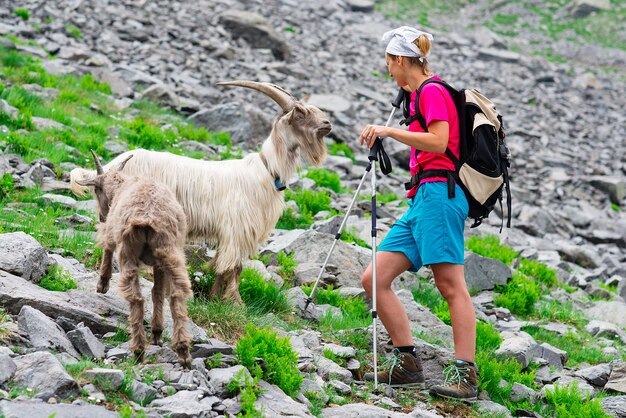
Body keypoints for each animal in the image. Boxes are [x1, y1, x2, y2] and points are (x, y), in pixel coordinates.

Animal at [70, 81, 330, 304]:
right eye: (300, 111)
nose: (328, 123)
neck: (267, 170)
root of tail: (112, 165)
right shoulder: (238, 228)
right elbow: (234, 267)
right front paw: (235, 302)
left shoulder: (230, 232)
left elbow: (221, 266)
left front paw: (215, 297)